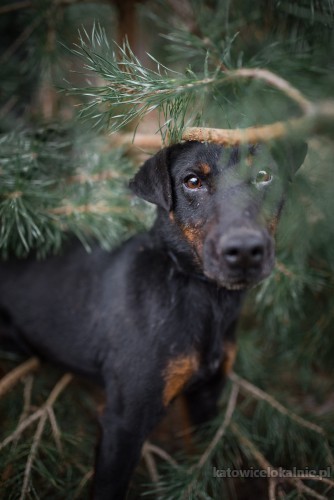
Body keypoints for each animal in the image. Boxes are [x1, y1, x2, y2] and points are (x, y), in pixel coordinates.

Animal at [0, 139, 306, 498]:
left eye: (264, 175)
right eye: (192, 181)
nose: (244, 250)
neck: (200, 294)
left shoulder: (206, 398)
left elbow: (202, 465)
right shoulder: (125, 422)